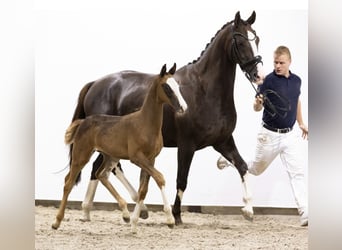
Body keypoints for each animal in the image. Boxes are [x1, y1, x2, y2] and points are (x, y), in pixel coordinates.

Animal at [72, 10, 264, 224]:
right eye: (240, 41)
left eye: (256, 39)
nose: (258, 74)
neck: (204, 89)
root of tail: (95, 83)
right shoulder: (187, 145)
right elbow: (182, 179)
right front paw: (176, 215)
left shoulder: (223, 141)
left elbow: (242, 166)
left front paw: (248, 210)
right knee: (106, 167)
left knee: (100, 168)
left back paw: (91, 211)